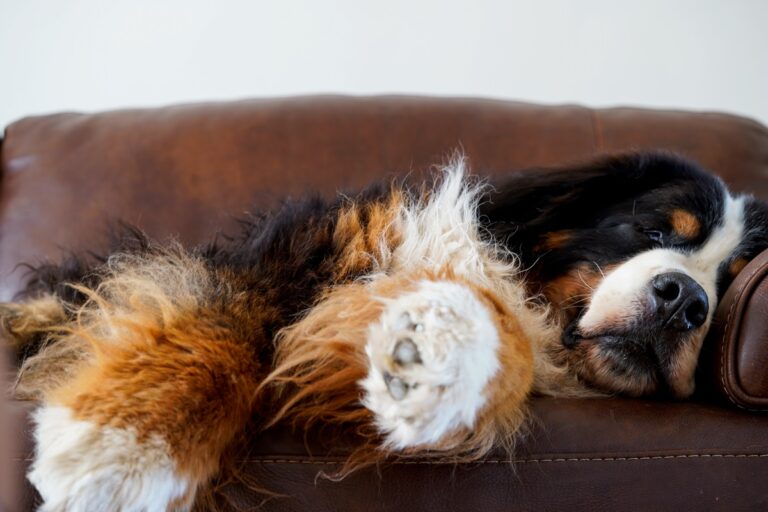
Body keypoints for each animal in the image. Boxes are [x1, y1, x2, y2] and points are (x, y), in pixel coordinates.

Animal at [6, 150, 768, 510]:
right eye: (653, 230)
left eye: (733, 279)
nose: (686, 300)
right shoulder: (282, 263)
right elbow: (211, 329)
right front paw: (124, 458)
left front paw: (428, 360)